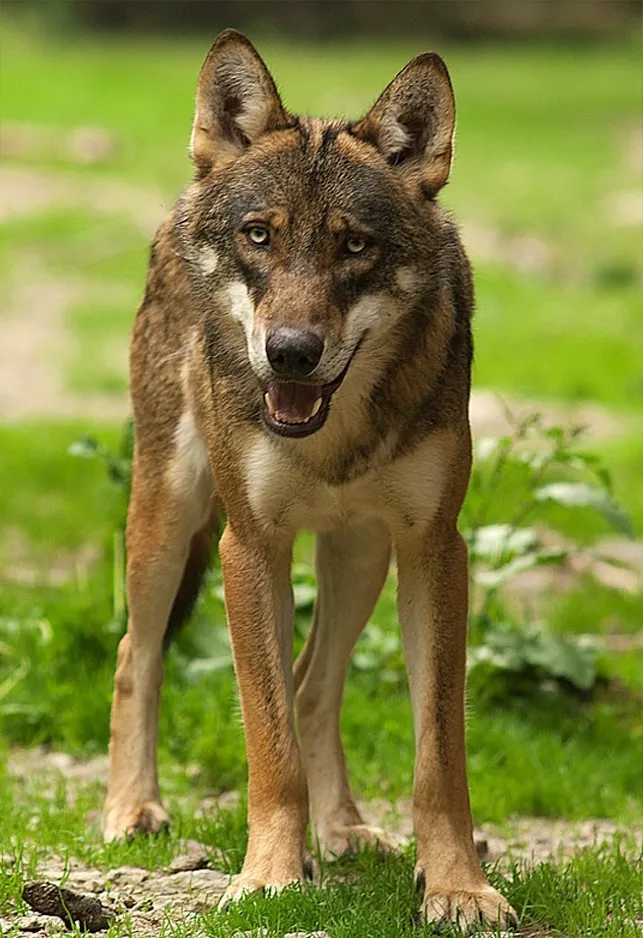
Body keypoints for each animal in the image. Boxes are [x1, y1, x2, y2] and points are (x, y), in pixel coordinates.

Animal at [103, 27, 520, 928]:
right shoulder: (248, 547)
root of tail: (184, 196)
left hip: (358, 557)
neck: (333, 433)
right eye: (260, 236)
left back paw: (345, 830)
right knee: (134, 653)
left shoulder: (436, 550)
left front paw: (457, 886)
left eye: (354, 244)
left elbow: (438, 756)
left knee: (311, 687)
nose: (289, 352)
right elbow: (268, 746)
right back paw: (132, 809)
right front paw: (267, 875)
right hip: (167, 516)